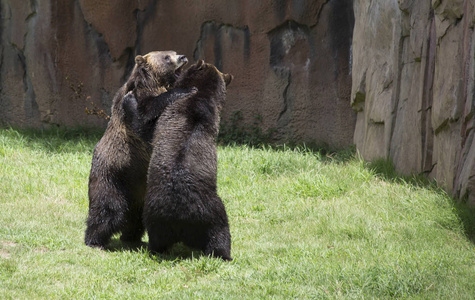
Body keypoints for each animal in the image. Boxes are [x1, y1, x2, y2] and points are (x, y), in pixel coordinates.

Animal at [84, 51, 189, 248]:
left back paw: (131, 237)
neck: (152, 85)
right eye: (166, 57)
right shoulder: (134, 108)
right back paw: (94, 240)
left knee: (136, 218)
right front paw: (186, 90)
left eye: (173, 52)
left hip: (140, 191)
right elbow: (145, 123)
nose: (182, 57)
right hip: (113, 178)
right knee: (108, 210)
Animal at [122, 60, 234, 260]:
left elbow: (146, 129)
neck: (201, 95)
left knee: (220, 235)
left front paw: (129, 99)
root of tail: (181, 219)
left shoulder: (169, 115)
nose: (184, 59)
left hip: (181, 215)